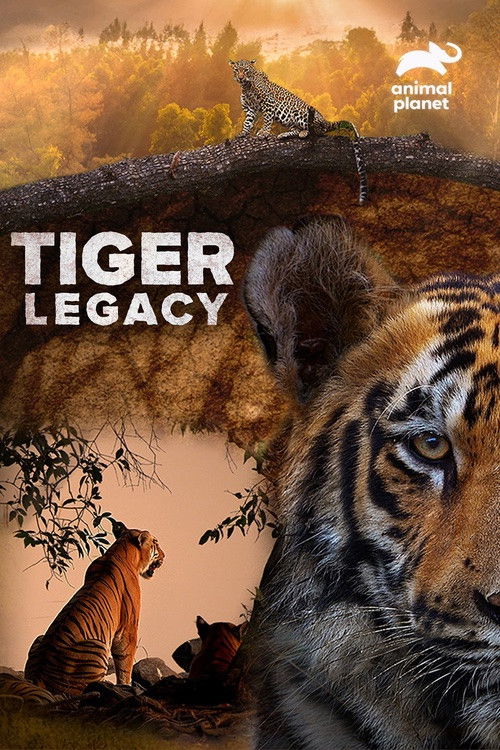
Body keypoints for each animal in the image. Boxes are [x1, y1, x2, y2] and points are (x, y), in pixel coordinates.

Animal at [24, 525, 164, 696]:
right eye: (156, 543)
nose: (164, 556)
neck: (120, 550)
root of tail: (39, 675)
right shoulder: (128, 629)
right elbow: (125, 663)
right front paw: (126, 685)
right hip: (97, 646)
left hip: (39, 638)